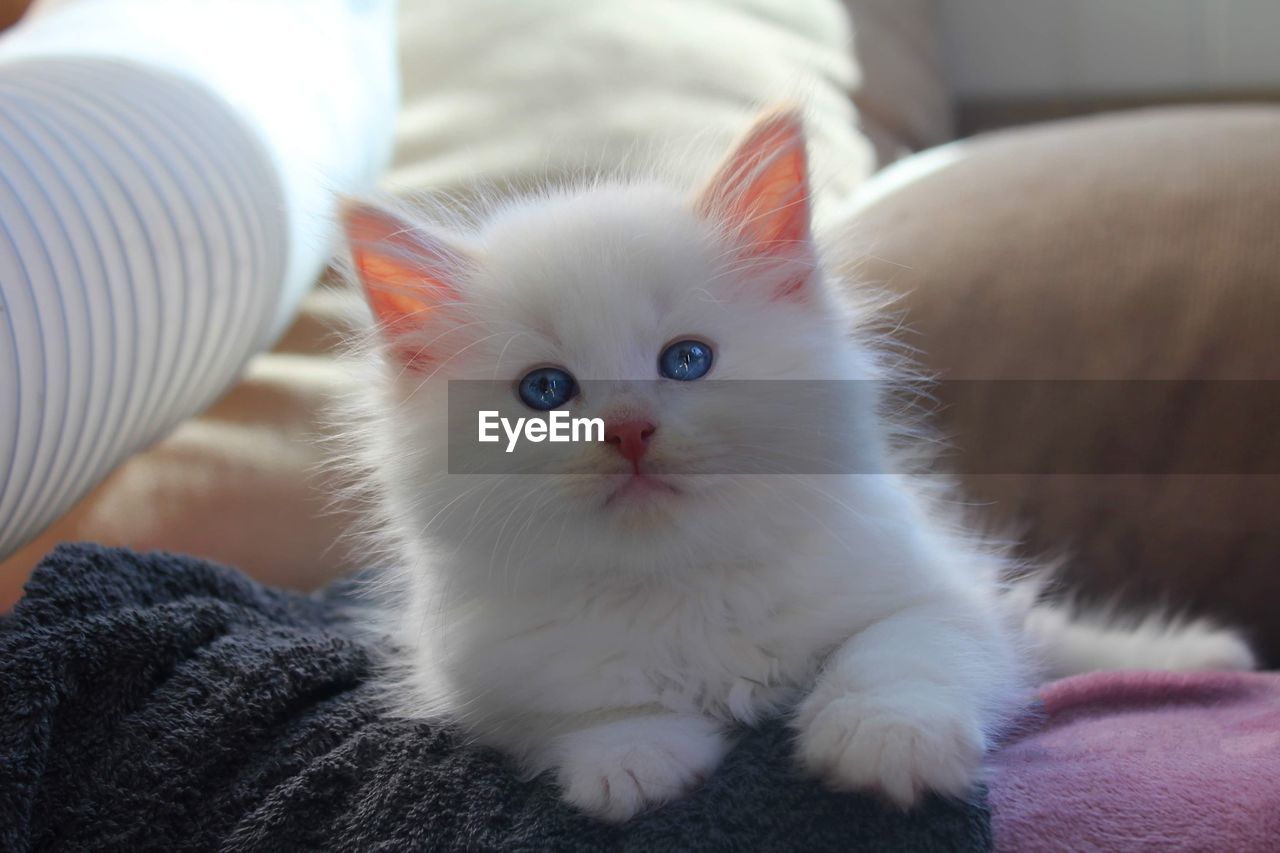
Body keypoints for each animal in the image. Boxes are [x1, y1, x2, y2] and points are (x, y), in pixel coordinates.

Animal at [337, 109, 1249, 819]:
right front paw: (630, 760)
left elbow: (896, 650)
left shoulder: (928, 592)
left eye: (687, 360)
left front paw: (887, 742)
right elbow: (583, 710)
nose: (629, 430)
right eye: (546, 390)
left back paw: (1207, 658)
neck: (683, 585)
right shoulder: (488, 678)